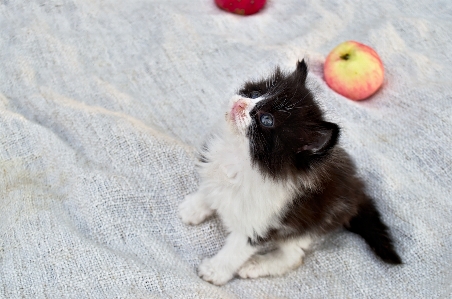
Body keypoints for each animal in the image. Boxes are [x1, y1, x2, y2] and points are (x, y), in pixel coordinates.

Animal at [178, 60, 400, 286]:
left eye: (267, 120)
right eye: (255, 92)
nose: (239, 104)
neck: (241, 158)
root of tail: (357, 188)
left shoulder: (262, 221)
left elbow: (235, 251)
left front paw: (215, 271)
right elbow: (210, 190)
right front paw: (194, 208)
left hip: (309, 226)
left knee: (294, 257)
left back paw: (255, 265)